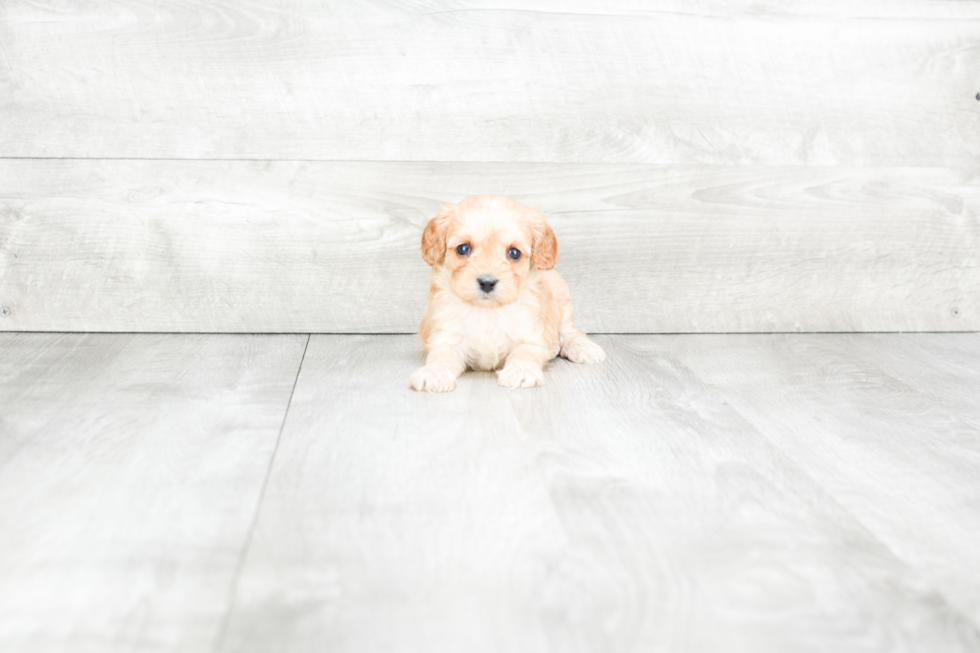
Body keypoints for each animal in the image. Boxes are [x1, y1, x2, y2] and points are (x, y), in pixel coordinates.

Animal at [406, 195, 604, 392]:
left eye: (514, 252)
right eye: (463, 248)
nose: (487, 282)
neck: (487, 311)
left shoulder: (530, 334)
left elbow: (525, 352)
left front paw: (520, 372)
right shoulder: (446, 335)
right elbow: (441, 355)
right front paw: (434, 372)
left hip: (563, 305)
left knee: (570, 332)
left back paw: (585, 348)